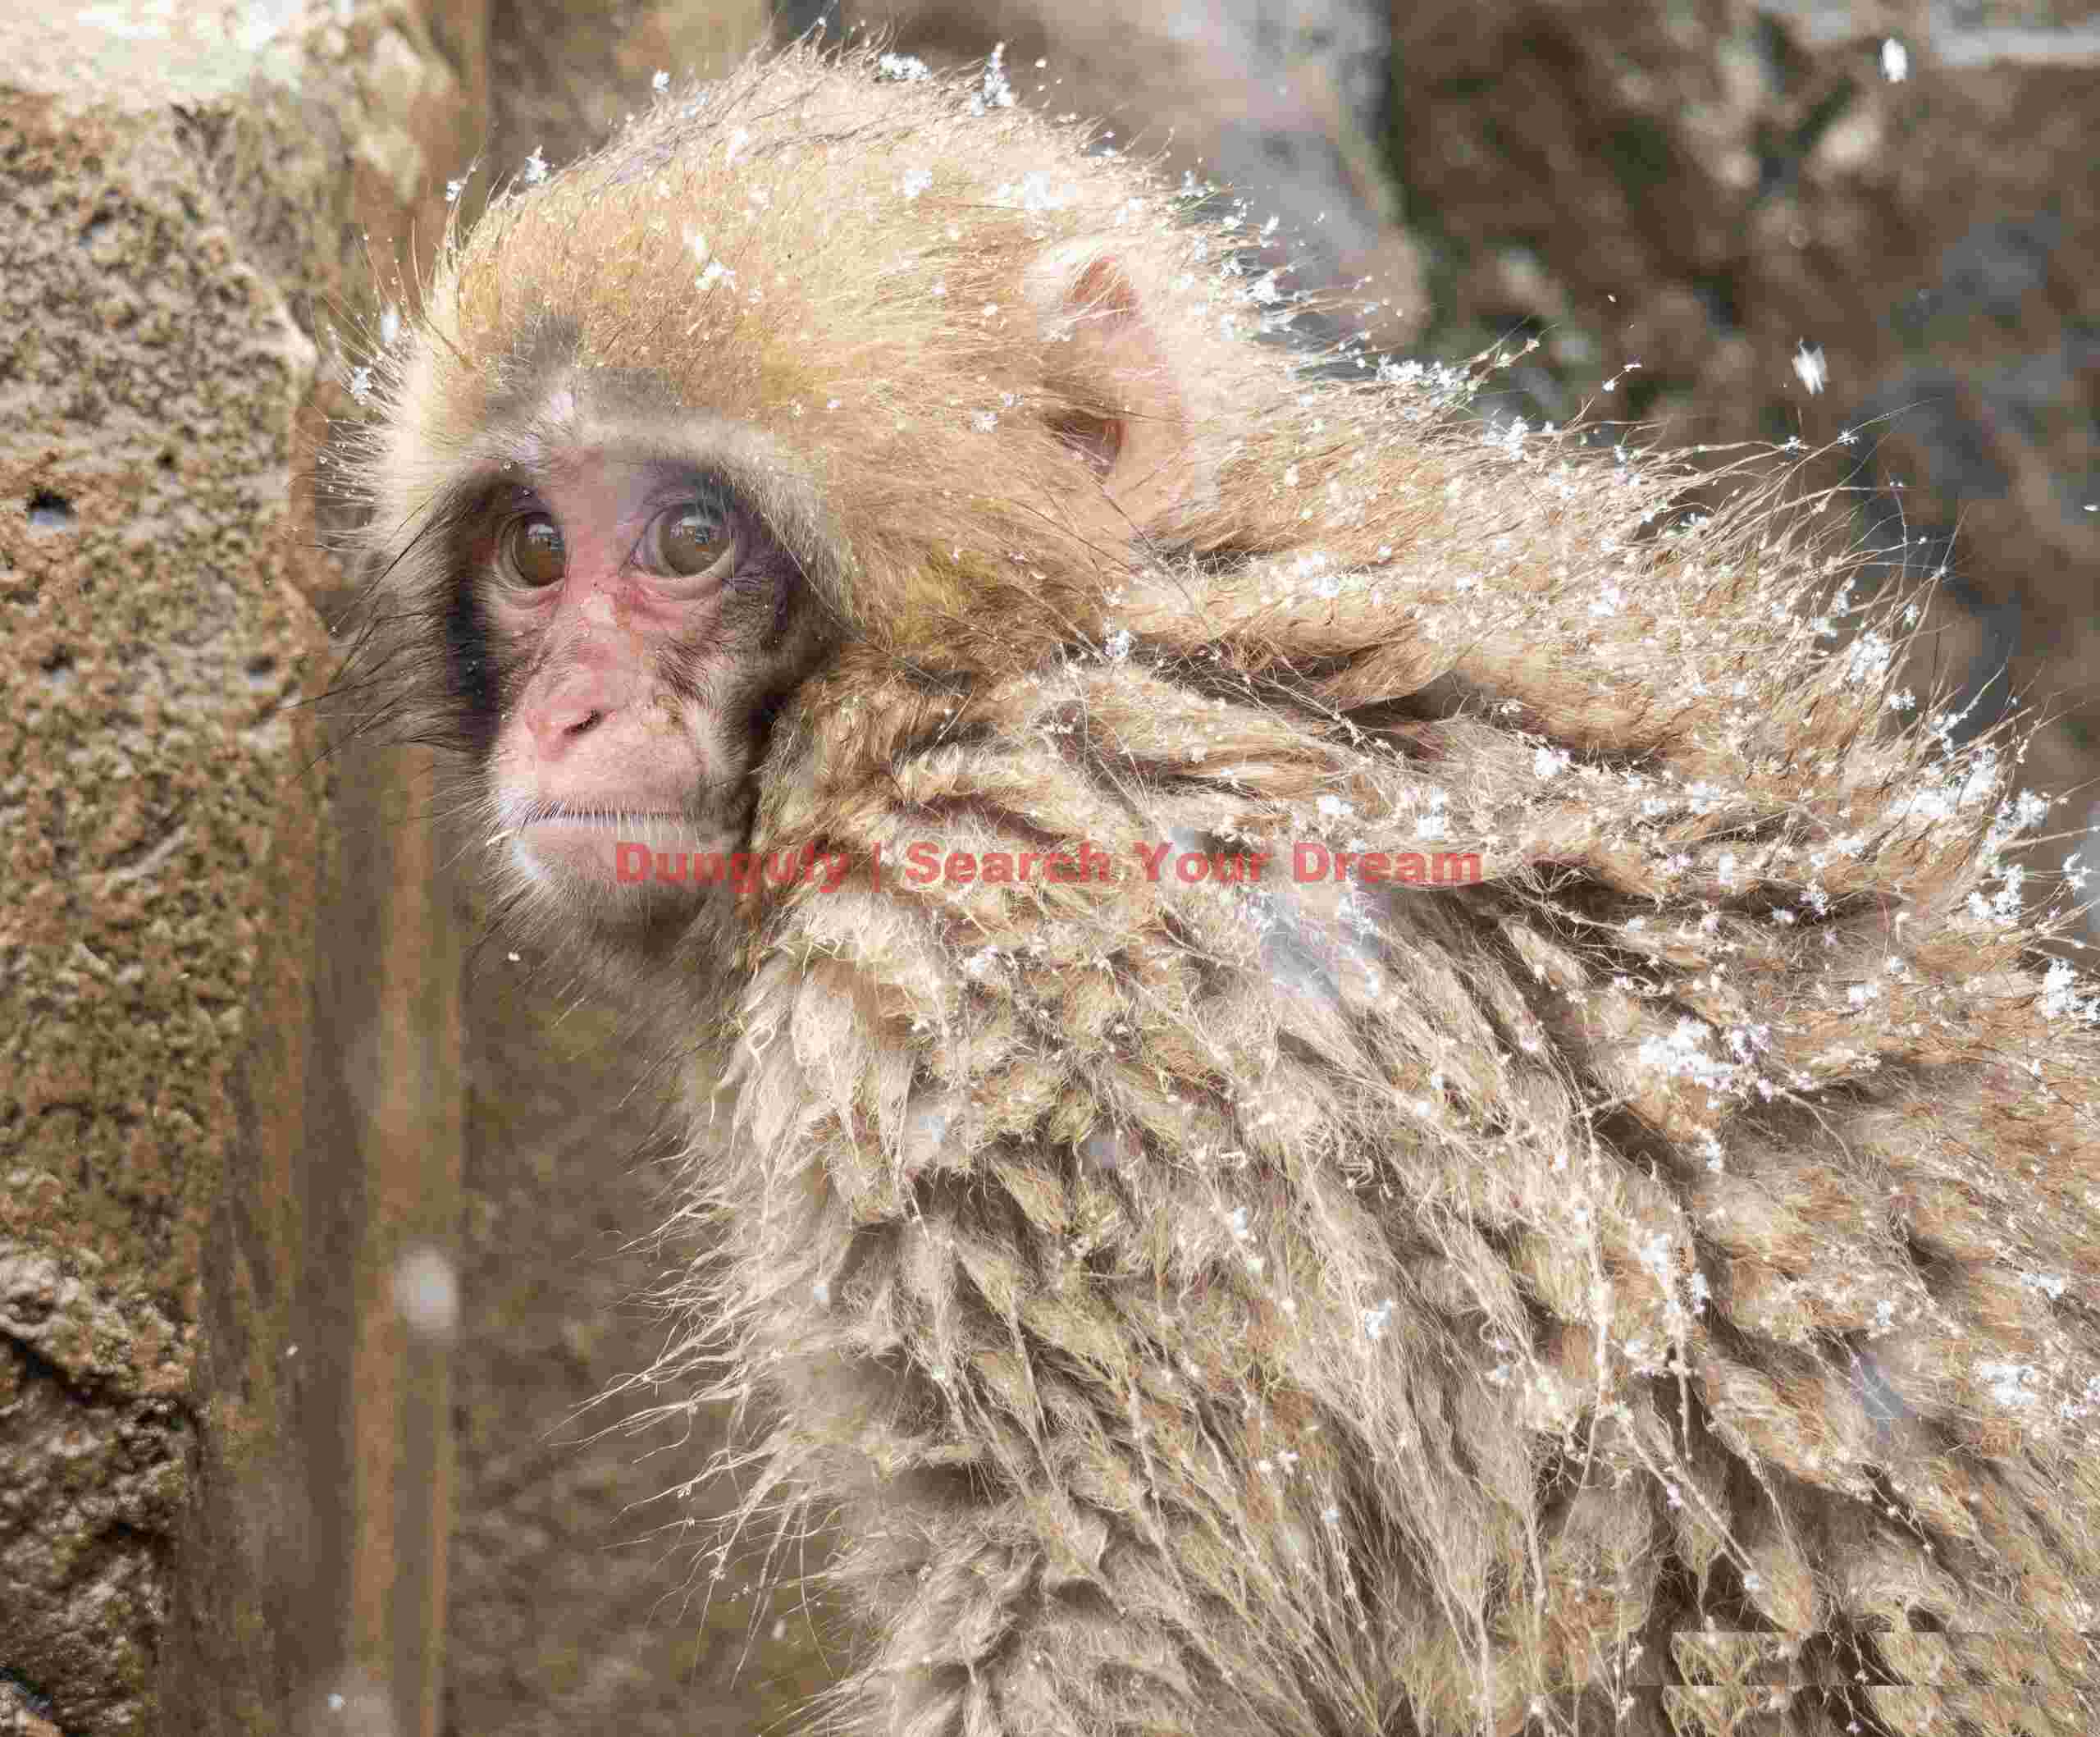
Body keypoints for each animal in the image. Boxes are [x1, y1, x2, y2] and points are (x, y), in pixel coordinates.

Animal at [338, 43, 2100, 1737]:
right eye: (535, 548)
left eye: (690, 536)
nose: (571, 714)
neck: (999, 663)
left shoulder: (1007, 1005)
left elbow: (1117, 1610)